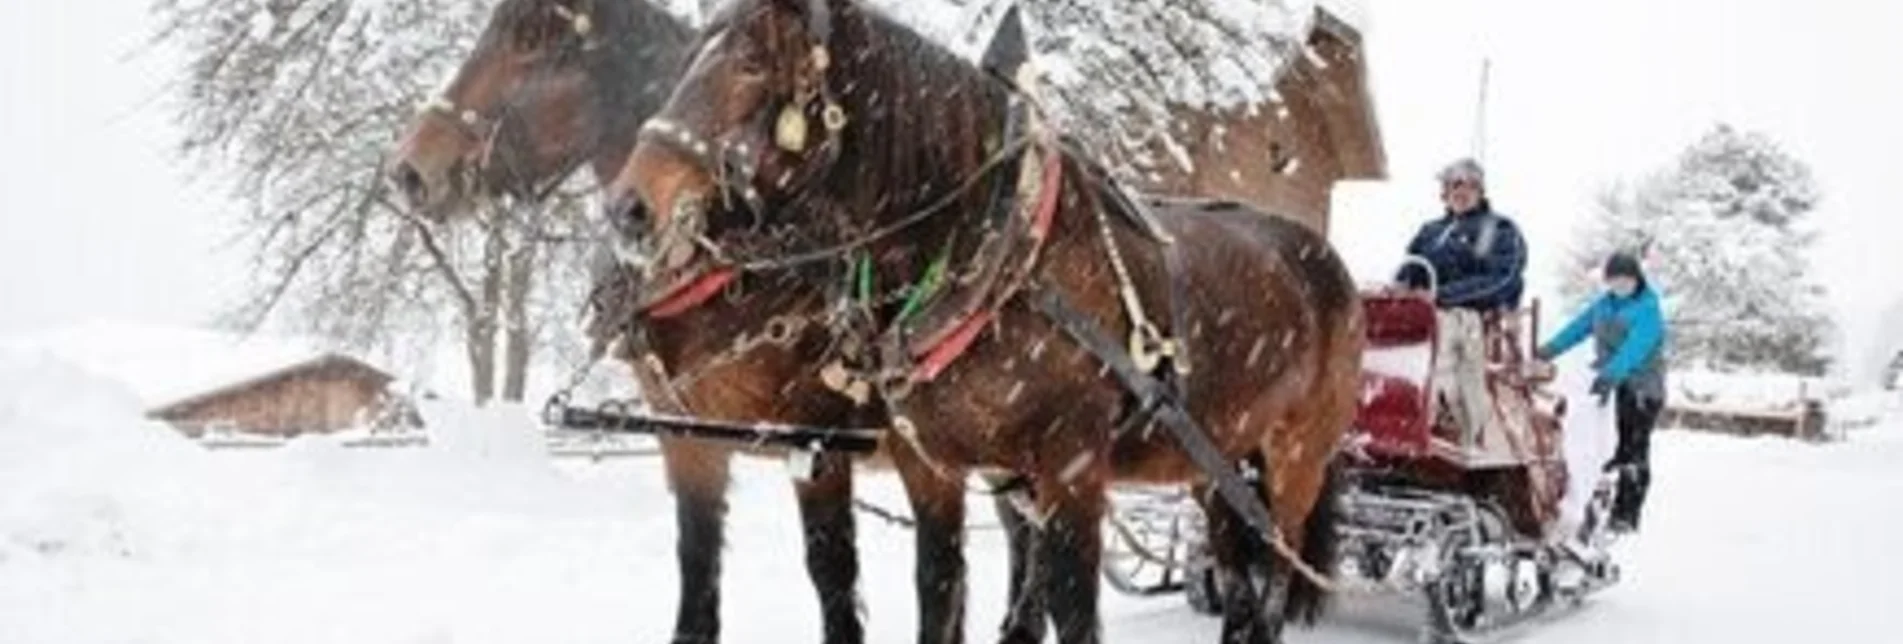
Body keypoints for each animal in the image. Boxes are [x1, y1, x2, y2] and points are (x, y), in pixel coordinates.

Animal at [384, 2, 875, 640]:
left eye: (531, 41)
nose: (409, 169)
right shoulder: (688, 439)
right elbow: (698, 574)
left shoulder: (819, 443)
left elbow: (833, 579)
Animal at [608, 1, 1370, 644]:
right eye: (686, 61)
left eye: (751, 64)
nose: (628, 207)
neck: (997, 259)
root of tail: (1326, 258)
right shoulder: (924, 467)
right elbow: (934, 595)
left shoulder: (1065, 470)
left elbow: (1068, 610)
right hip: (1210, 458)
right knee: (1234, 579)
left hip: (1293, 459)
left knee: (1273, 577)